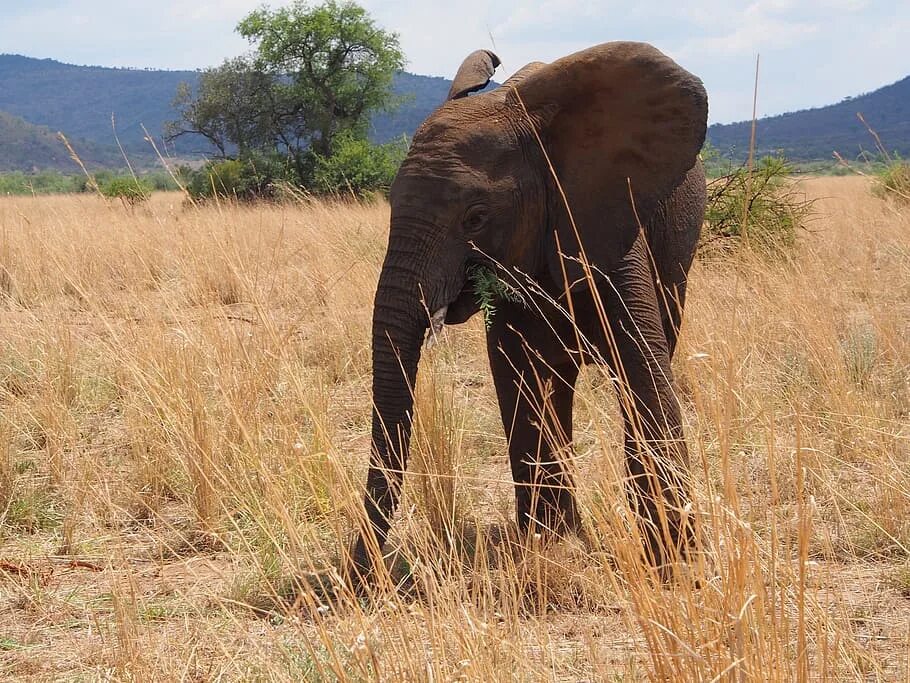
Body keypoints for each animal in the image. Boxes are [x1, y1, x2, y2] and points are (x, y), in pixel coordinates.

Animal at [350, 41, 712, 588]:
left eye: (476, 217)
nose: (361, 576)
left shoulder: (606, 225)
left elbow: (644, 373)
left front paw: (674, 565)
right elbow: (519, 378)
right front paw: (550, 545)